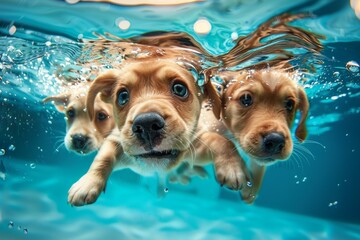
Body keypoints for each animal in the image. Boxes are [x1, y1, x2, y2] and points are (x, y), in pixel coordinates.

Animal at [68, 60, 253, 206]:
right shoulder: (115, 140)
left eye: (179, 89)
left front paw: (232, 168)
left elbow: (221, 141)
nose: (147, 124)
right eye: (122, 96)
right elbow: (102, 159)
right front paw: (87, 183)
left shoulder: (196, 144)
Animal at [219, 69, 310, 202]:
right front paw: (232, 169)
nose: (276, 141)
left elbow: (259, 166)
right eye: (246, 98)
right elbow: (222, 141)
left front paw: (252, 188)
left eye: (290, 104)